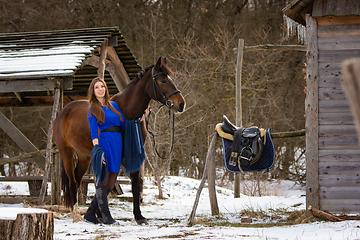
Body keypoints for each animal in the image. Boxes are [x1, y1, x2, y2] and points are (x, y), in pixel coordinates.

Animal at [53, 56, 186, 225]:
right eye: (162, 80)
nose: (181, 103)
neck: (126, 112)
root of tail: (64, 111)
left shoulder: (132, 154)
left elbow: (134, 185)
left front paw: (138, 216)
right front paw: (101, 215)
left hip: (84, 157)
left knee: (76, 181)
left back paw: (74, 213)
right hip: (67, 153)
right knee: (72, 182)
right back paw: (76, 214)